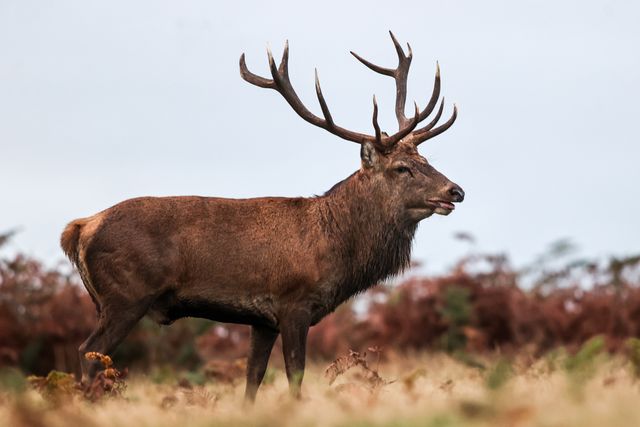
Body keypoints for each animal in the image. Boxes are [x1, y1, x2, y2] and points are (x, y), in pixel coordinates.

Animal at [60, 32, 464, 402]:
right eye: (402, 168)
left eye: (426, 160)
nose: (455, 191)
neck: (335, 249)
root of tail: (80, 228)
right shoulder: (293, 301)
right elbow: (295, 374)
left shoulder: (261, 318)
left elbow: (253, 378)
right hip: (126, 295)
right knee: (88, 353)